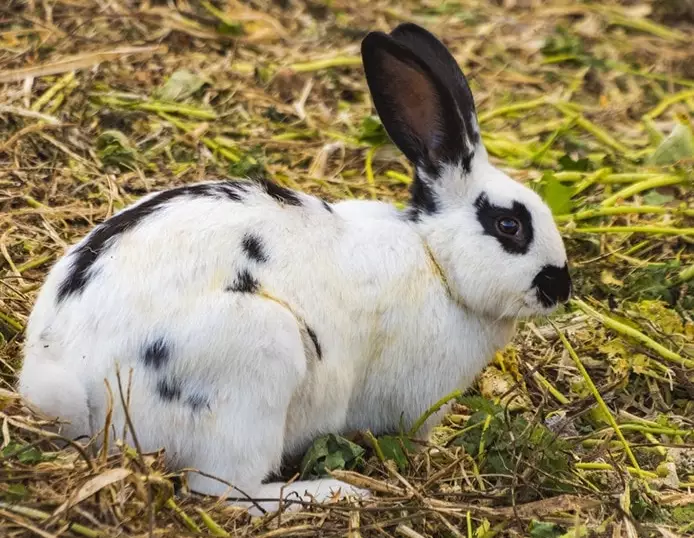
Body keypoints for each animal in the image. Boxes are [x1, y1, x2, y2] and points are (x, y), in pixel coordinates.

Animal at [17, 22, 571, 515]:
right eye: (509, 226)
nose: (561, 287)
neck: (435, 260)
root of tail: (70, 380)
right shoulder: (415, 404)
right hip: (255, 366)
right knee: (224, 491)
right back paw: (333, 492)